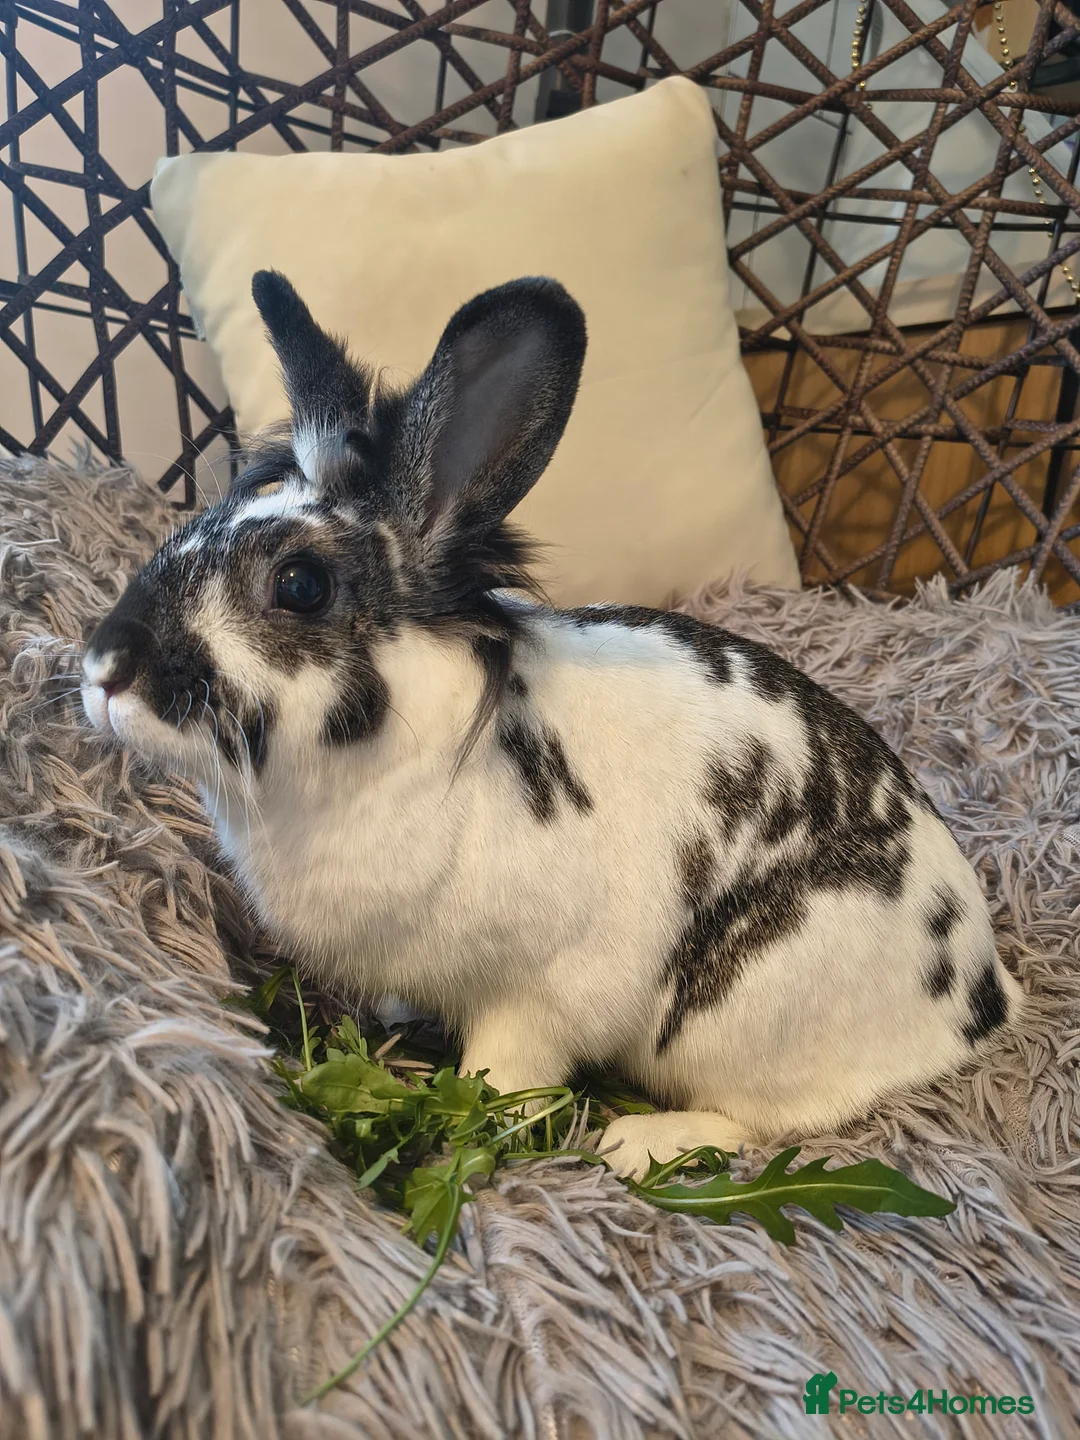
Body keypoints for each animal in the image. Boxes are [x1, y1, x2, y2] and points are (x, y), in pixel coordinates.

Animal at [81, 269, 1022, 1178]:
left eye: (300, 585)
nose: (102, 666)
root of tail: (982, 998)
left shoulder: (539, 999)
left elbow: (507, 1073)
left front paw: (480, 1126)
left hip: (749, 1009)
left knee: (778, 1119)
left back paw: (642, 1144)